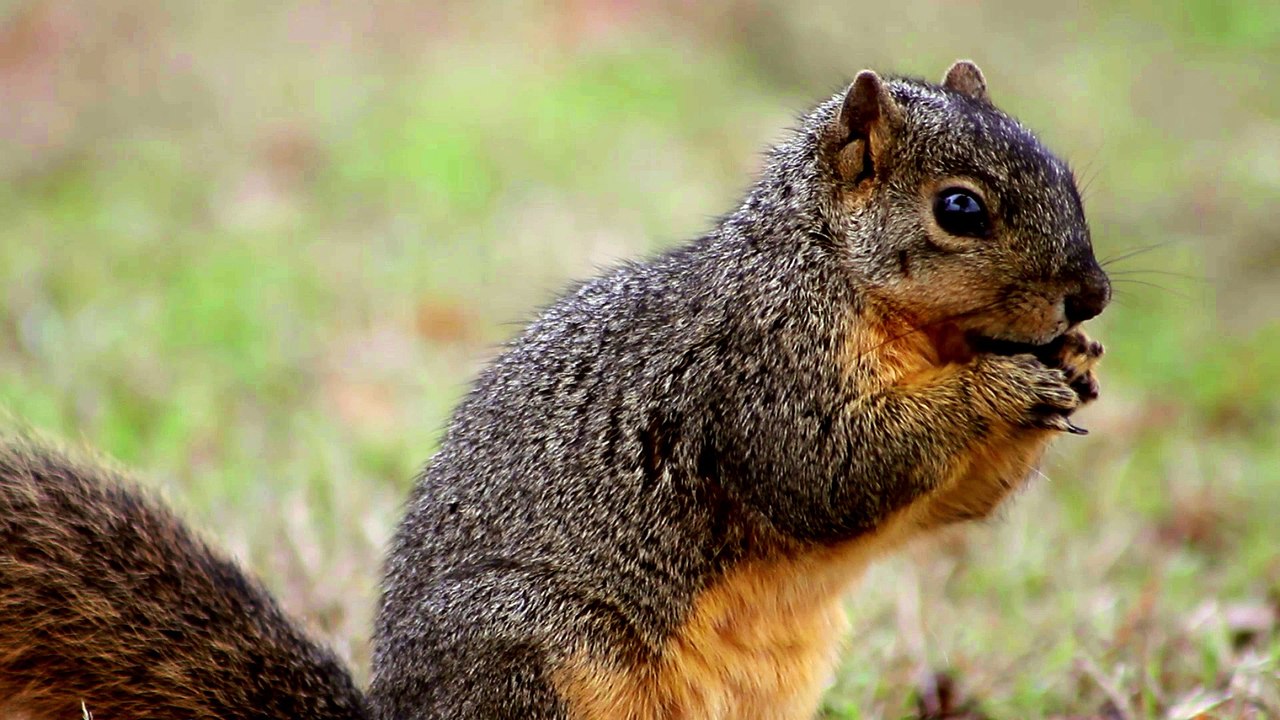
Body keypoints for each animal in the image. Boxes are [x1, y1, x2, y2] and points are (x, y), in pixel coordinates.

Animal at [0, 60, 1109, 720]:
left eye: (1064, 168)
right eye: (958, 209)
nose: (1091, 295)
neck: (831, 270)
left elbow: (945, 508)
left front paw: (1076, 366)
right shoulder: (761, 369)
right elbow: (827, 473)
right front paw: (1000, 382)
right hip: (539, 658)